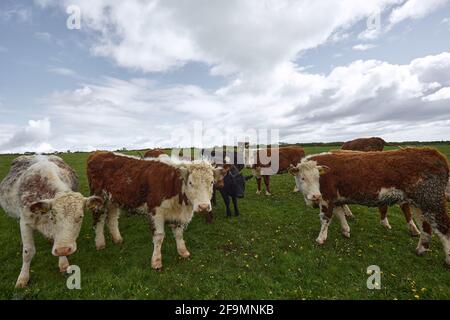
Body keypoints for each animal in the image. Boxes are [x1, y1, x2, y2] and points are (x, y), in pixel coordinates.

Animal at [0, 155, 103, 288]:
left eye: (80, 216)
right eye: (53, 216)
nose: (63, 249)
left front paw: (63, 263)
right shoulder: (24, 222)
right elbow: (28, 252)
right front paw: (22, 278)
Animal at [86, 151, 227, 268]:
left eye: (211, 182)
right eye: (191, 183)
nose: (204, 206)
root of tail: (98, 153)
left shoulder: (178, 215)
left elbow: (179, 234)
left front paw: (183, 252)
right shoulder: (156, 212)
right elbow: (159, 236)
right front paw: (156, 261)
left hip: (113, 200)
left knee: (112, 219)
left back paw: (117, 239)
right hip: (99, 198)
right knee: (98, 220)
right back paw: (100, 243)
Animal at [288, 149, 450, 266]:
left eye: (318, 178)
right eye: (303, 178)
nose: (315, 196)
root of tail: (432, 152)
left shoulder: (327, 198)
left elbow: (325, 218)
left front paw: (321, 238)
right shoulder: (337, 199)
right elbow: (340, 214)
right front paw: (345, 230)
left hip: (432, 201)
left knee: (444, 228)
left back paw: (447, 260)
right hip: (419, 204)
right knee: (426, 227)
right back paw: (421, 249)